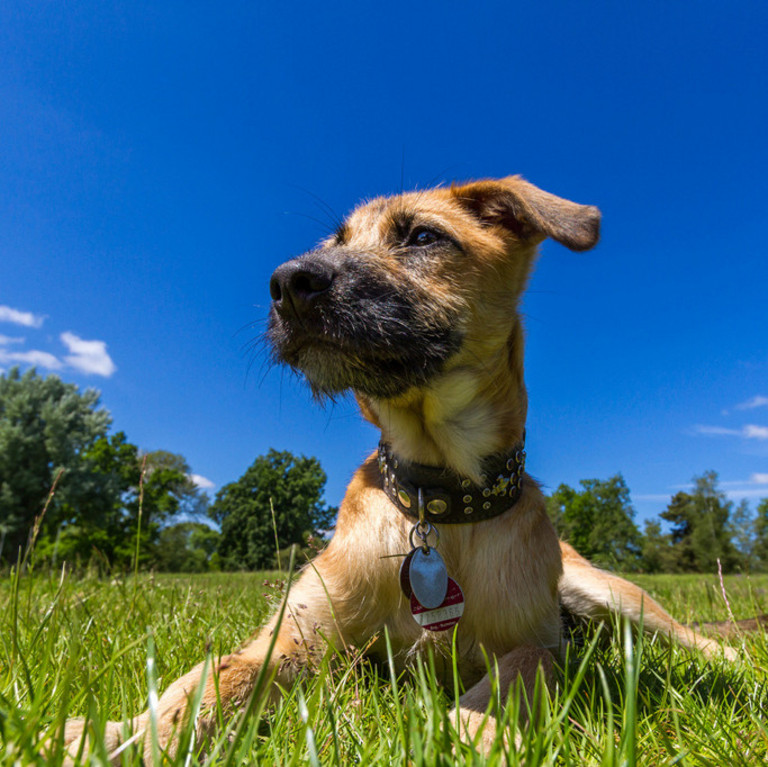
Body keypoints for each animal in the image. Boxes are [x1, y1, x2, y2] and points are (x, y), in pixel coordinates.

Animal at [58, 176, 732, 760]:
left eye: (424, 237)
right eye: (333, 242)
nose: (288, 283)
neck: (438, 501)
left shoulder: (541, 641)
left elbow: (524, 667)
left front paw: (466, 733)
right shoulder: (295, 635)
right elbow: (215, 676)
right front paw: (125, 735)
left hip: (614, 595)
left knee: (706, 641)